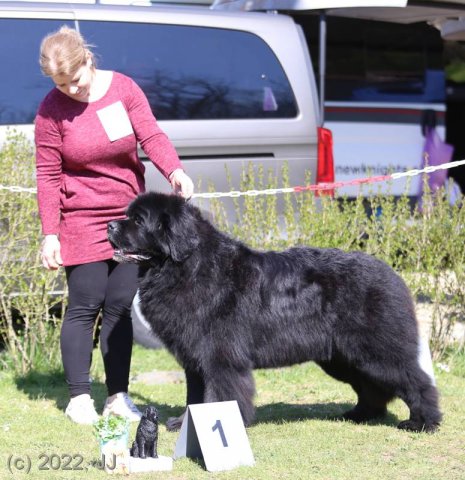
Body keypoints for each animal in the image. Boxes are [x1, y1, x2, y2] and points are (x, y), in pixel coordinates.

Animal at [107, 193, 440, 434]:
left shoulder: (221, 357)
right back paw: (361, 415)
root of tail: (391, 272)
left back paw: (423, 422)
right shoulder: (195, 359)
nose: (109, 225)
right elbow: (195, 397)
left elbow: (219, 394)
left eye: (138, 220)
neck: (187, 267)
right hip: (343, 357)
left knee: (415, 380)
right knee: (373, 387)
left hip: (375, 350)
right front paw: (184, 424)